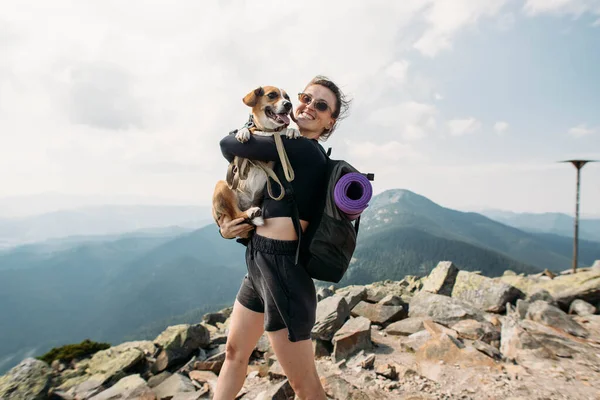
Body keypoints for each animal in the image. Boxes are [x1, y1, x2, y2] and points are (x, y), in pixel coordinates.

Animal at [213, 86, 302, 231]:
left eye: (287, 97)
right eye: (272, 95)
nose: (288, 105)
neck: (267, 130)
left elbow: (283, 130)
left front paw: (293, 130)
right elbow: (249, 128)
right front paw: (243, 131)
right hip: (222, 185)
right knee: (235, 214)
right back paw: (250, 212)